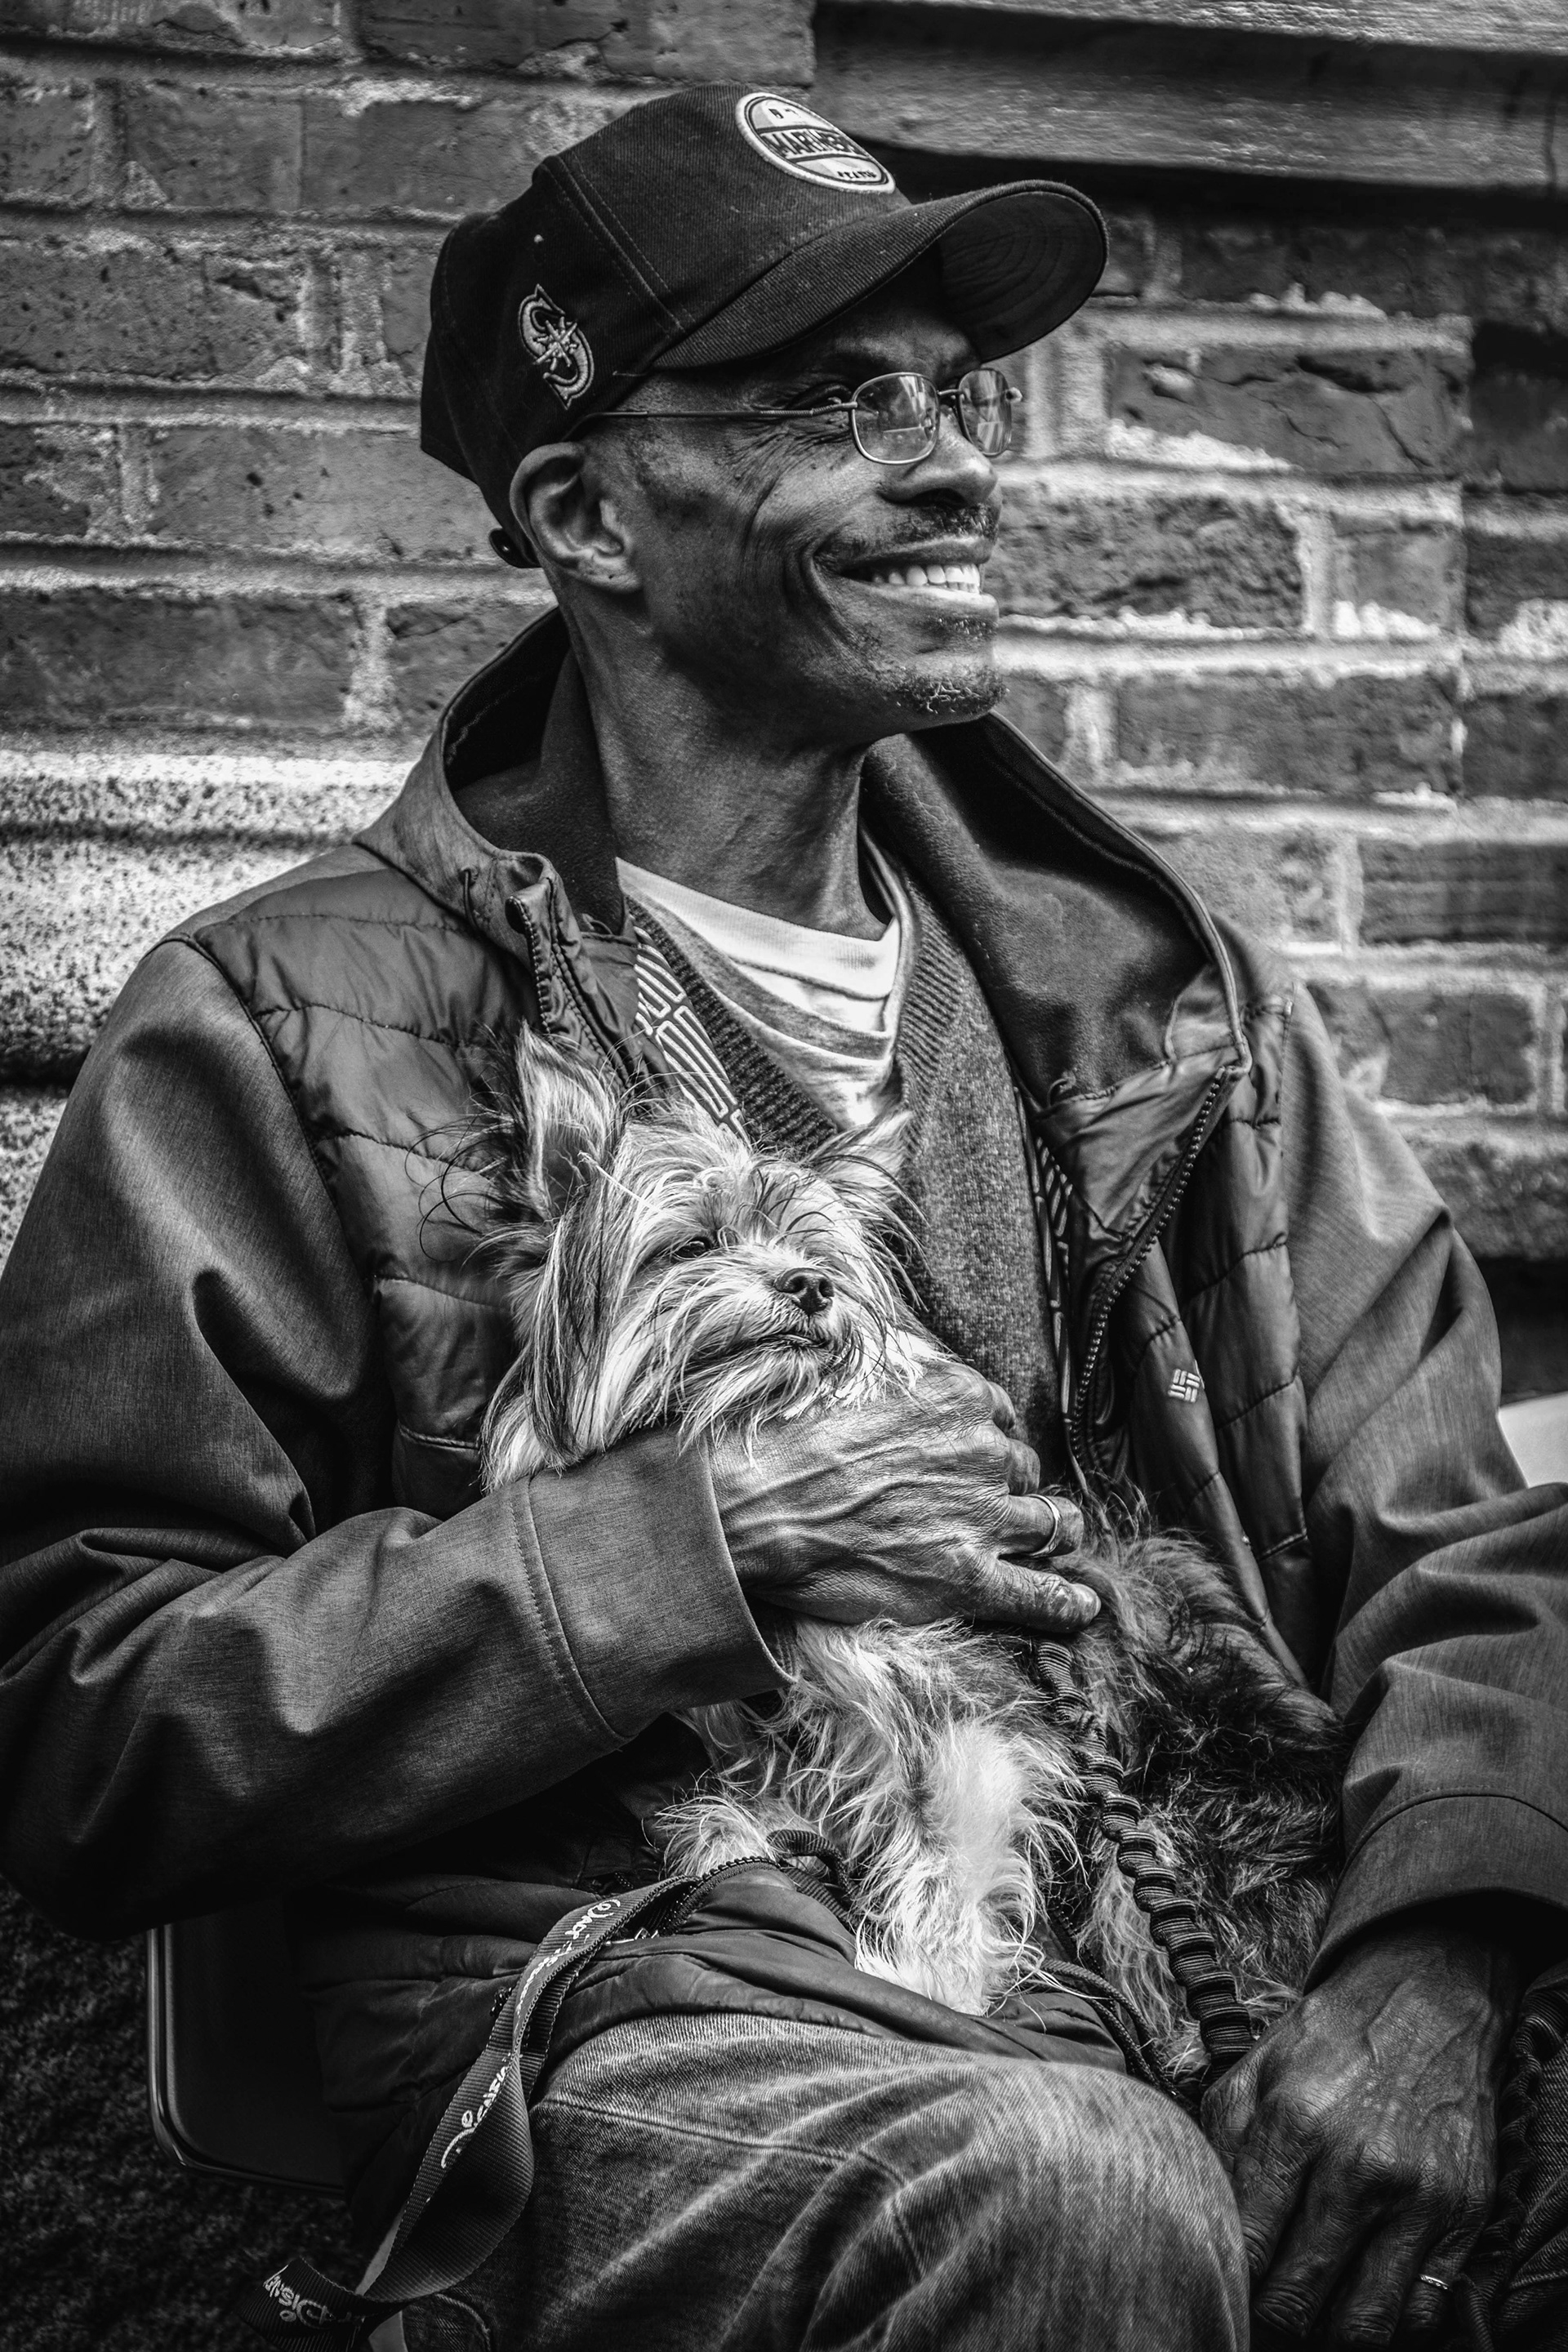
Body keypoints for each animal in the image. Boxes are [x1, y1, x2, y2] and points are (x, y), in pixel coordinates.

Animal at [475, 1027, 1345, 2086]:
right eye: (693, 1245)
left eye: (822, 1260)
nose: (812, 1287)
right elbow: (745, 1804)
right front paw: (740, 1844)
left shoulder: (969, 1719)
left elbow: (947, 1860)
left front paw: (928, 1988)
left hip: (1171, 1834)